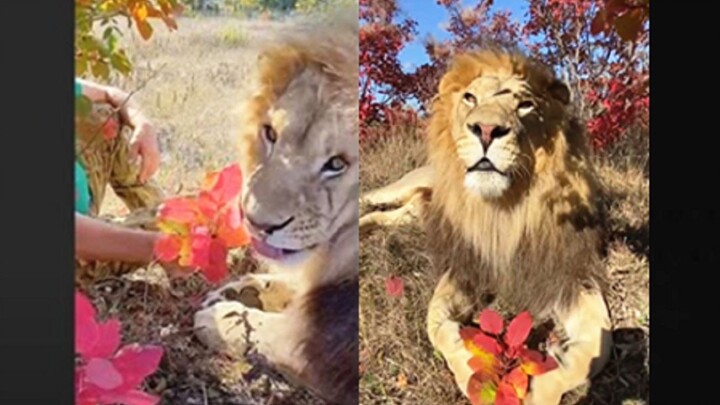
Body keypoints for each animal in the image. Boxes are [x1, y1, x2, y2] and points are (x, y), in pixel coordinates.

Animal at [192, 9, 359, 405]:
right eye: (270, 134)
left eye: (337, 164)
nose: (256, 222)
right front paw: (239, 289)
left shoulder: (330, 349)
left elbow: (272, 336)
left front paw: (222, 317)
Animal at [361, 48, 613, 405]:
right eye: (470, 98)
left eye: (525, 105)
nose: (486, 129)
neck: (505, 210)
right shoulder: (465, 268)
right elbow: (437, 325)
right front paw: (473, 374)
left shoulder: (568, 273)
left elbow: (598, 345)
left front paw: (540, 390)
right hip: (396, 188)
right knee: (367, 200)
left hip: (413, 214)